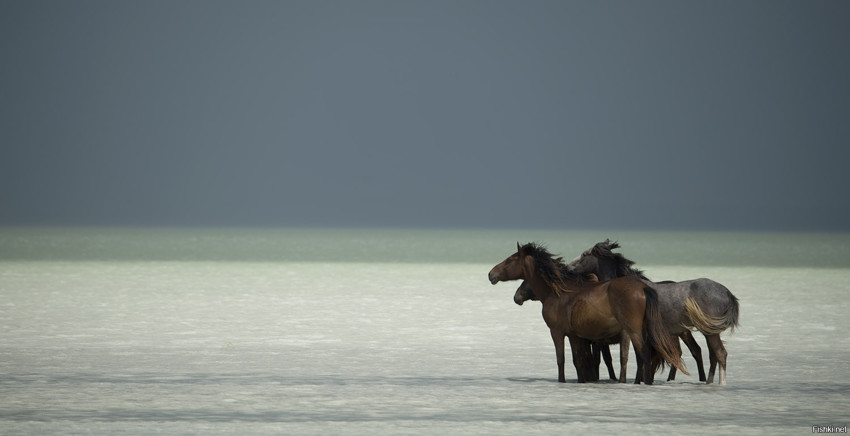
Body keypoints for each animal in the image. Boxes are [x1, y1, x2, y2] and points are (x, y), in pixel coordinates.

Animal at [486, 242, 684, 384]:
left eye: (510, 260)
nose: (490, 274)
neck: (557, 292)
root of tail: (643, 287)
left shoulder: (557, 332)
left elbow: (561, 360)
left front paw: (562, 381)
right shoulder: (576, 336)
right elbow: (579, 361)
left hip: (632, 331)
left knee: (642, 354)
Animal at [568, 238, 740, 384]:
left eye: (584, 255)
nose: (569, 268)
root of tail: (728, 293)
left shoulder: (627, 332)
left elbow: (626, 357)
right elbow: (641, 358)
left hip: (706, 332)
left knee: (720, 354)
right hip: (706, 331)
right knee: (712, 355)